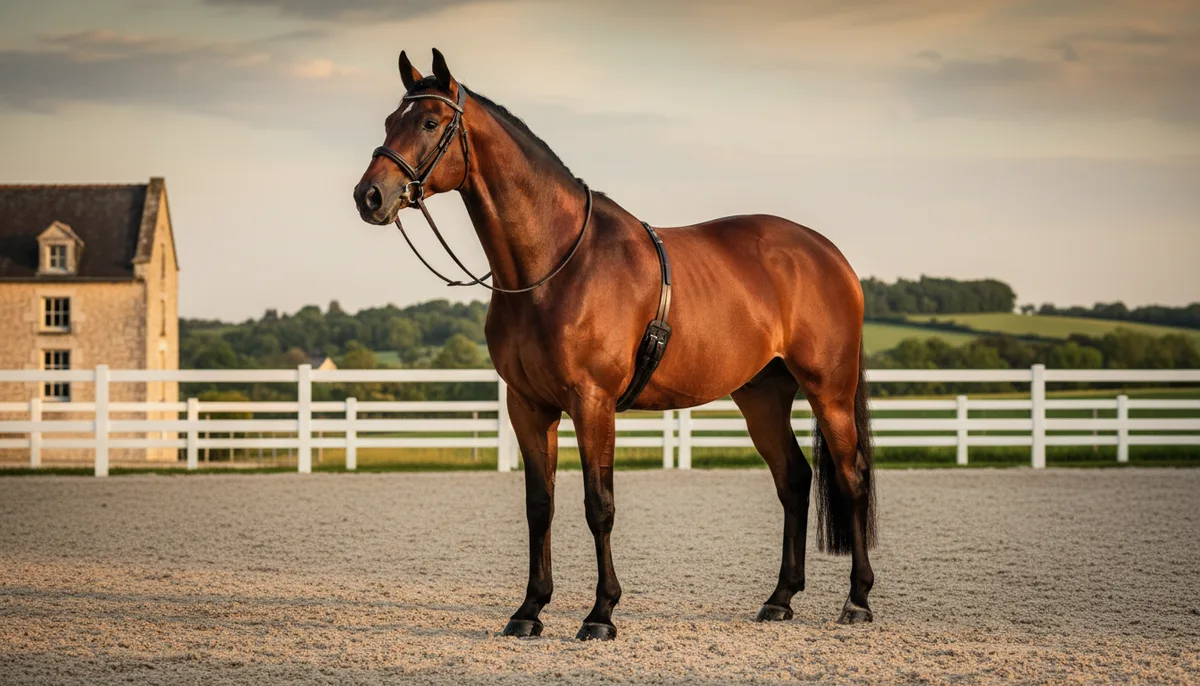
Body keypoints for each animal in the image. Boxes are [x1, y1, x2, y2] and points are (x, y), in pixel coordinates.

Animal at [353, 49, 876, 641]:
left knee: (851, 479)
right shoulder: (528, 406)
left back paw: (857, 600)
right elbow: (540, 506)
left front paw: (601, 614)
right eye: (390, 120)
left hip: (829, 391)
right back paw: (780, 598)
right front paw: (529, 610)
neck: (555, 265)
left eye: (429, 122)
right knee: (794, 479)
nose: (370, 196)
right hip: (762, 396)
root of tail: (829, 256)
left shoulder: (592, 402)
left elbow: (597, 505)